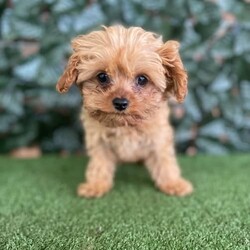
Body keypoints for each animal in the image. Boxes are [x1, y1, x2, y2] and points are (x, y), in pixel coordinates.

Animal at [56, 25, 193, 197]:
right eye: (102, 77)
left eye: (142, 79)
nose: (120, 103)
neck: (125, 125)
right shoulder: (98, 140)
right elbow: (99, 163)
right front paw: (96, 185)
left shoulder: (159, 137)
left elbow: (164, 160)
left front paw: (173, 183)